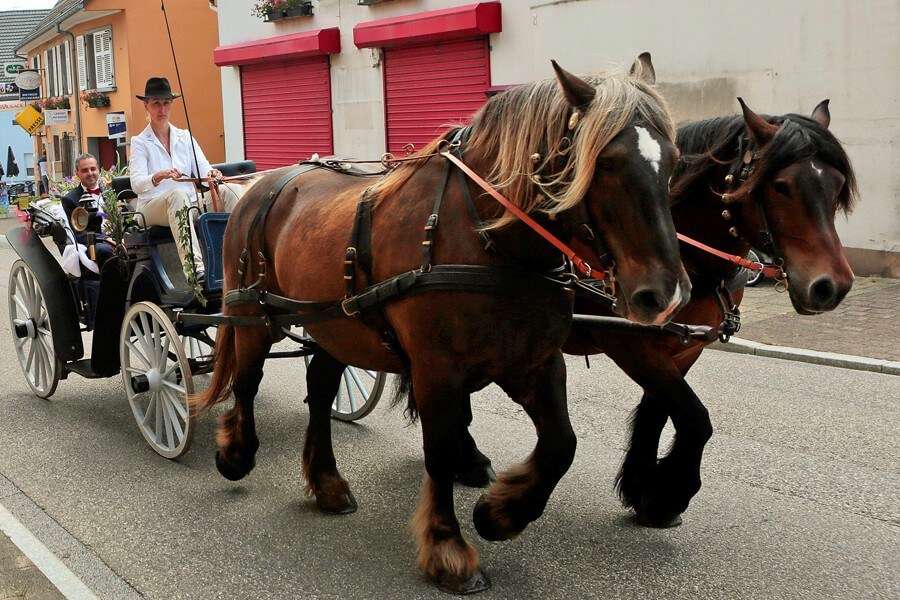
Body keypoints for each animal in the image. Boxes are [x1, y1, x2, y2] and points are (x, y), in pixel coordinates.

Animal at [195, 57, 688, 596]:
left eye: (674, 161)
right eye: (608, 163)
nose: (663, 294)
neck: (485, 239)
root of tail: (261, 186)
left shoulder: (534, 363)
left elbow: (562, 445)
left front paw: (501, 513)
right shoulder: (436, 372)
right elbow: (441, 451)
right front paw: (449, 548)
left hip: (334, 325)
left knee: (321, 393)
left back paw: (326, 482)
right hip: (252, 314)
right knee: (246, 382)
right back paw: (236, 453)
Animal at [460, 98, 860, 528]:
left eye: (837, 186)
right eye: (781, 186)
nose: (831, 286)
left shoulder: (683, 345)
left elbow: (659, 411)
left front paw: (644, 490)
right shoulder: (627, 342)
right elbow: (695, 417)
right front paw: (671, 493)